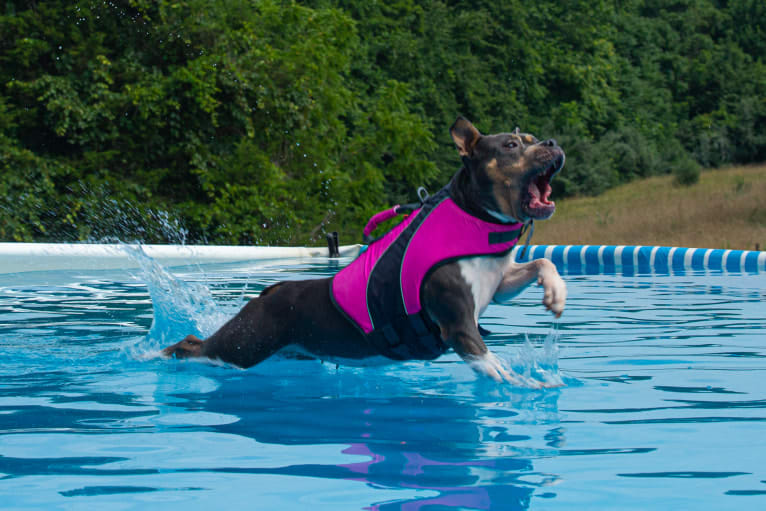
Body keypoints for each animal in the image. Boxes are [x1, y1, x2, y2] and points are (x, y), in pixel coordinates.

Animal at [162, 117, 568, 388]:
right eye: (511, 146)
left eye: (532, 139)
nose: (553, 140)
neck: (475, 216)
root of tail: (268, 293)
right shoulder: (458, 326)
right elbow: (489, 361)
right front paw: (518, 381)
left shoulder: (499, 284)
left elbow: (542, 261)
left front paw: (556, 294)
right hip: (245, 343)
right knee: (194, 346)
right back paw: (160, 355)